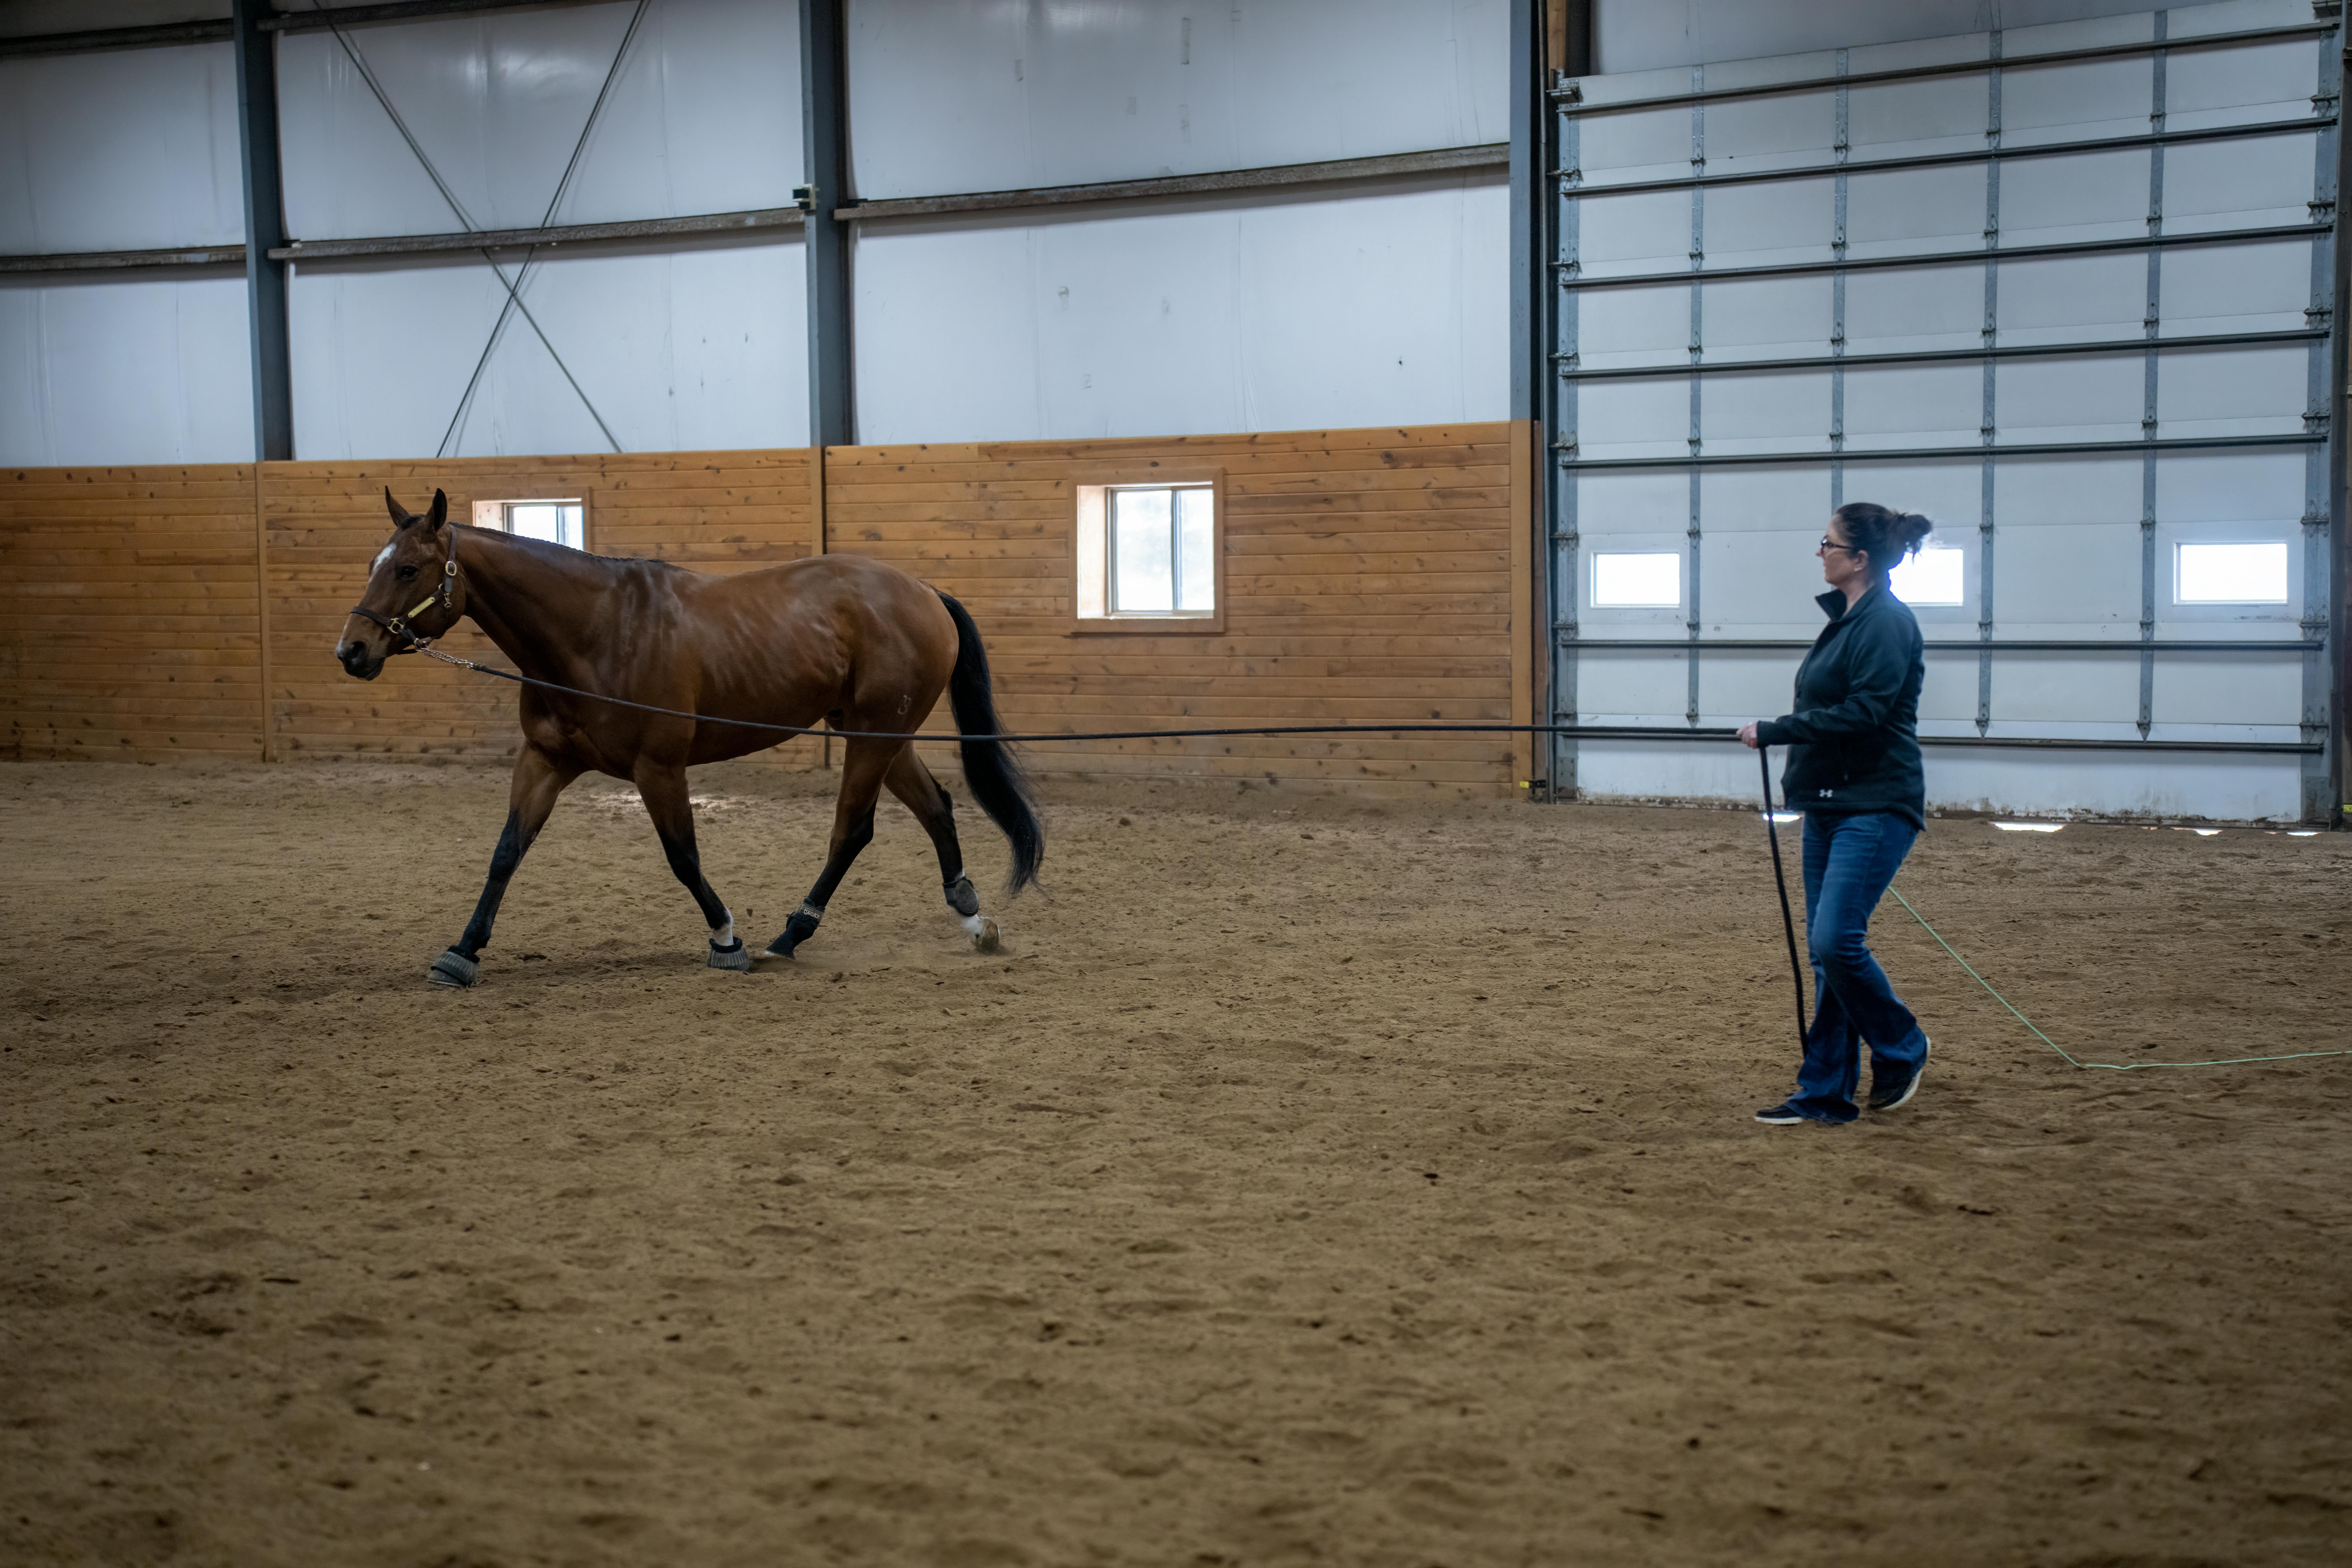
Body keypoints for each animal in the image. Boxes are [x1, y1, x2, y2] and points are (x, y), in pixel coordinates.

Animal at [334, 488, 1044, 988]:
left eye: (408, 569)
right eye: (374, 564)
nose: (352, 650)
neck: (596, 632)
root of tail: (924, 591)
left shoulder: (659, 768)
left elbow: (683, 858)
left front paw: (727, 939)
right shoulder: (545, 761)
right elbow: (507, 852)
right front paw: (462, 952)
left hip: (873, 736)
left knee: (852, 829)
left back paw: (790, 936)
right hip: (879, 733)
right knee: (935, 809)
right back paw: (972, 919)